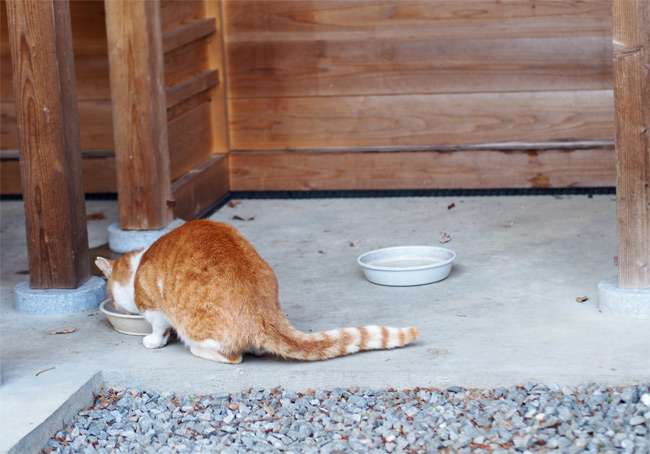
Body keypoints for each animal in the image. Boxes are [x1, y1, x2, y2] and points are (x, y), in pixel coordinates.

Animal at [97, 218, 420, 364]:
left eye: (111, 296)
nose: (114, 302)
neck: (139, 264)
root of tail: (263, 314)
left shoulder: (153, 306)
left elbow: (158, 327)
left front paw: (154, 340)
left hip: (198, 329)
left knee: (231, 356)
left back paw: (197, 349)